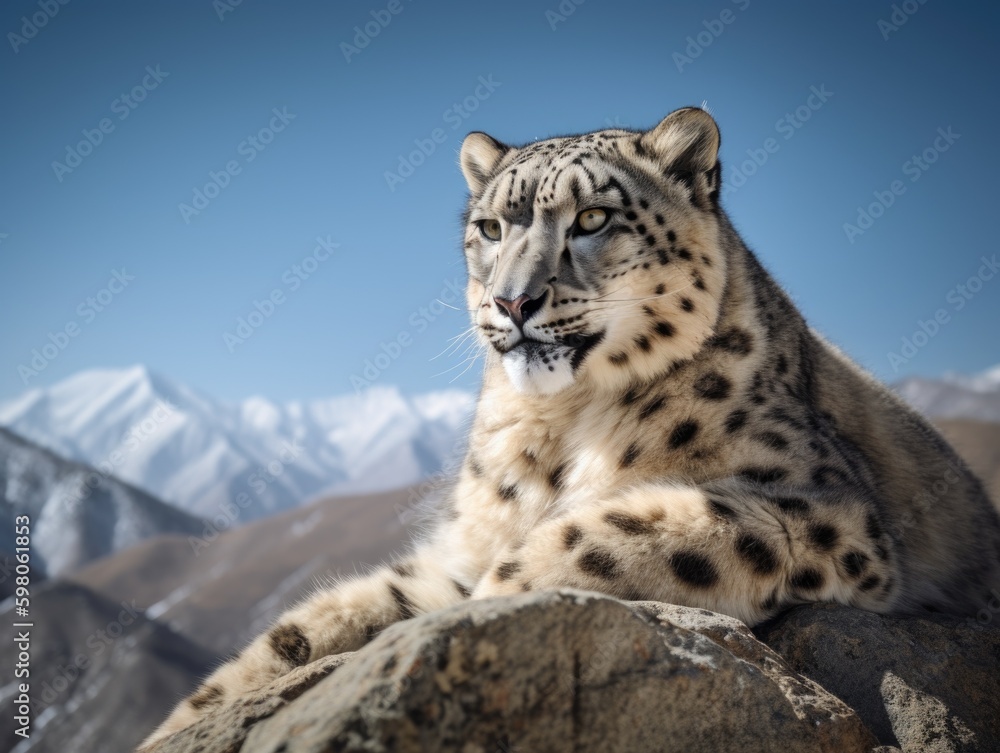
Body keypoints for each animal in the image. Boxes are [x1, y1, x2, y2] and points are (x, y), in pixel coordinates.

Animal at [140, 106, 1000, 749]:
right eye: (489, 228)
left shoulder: (831, 511)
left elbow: (619, 531)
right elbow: (297, 635)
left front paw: (503, 591)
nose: (512, 300)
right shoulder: (457, 548)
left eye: (591, 218)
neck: (556, 426)